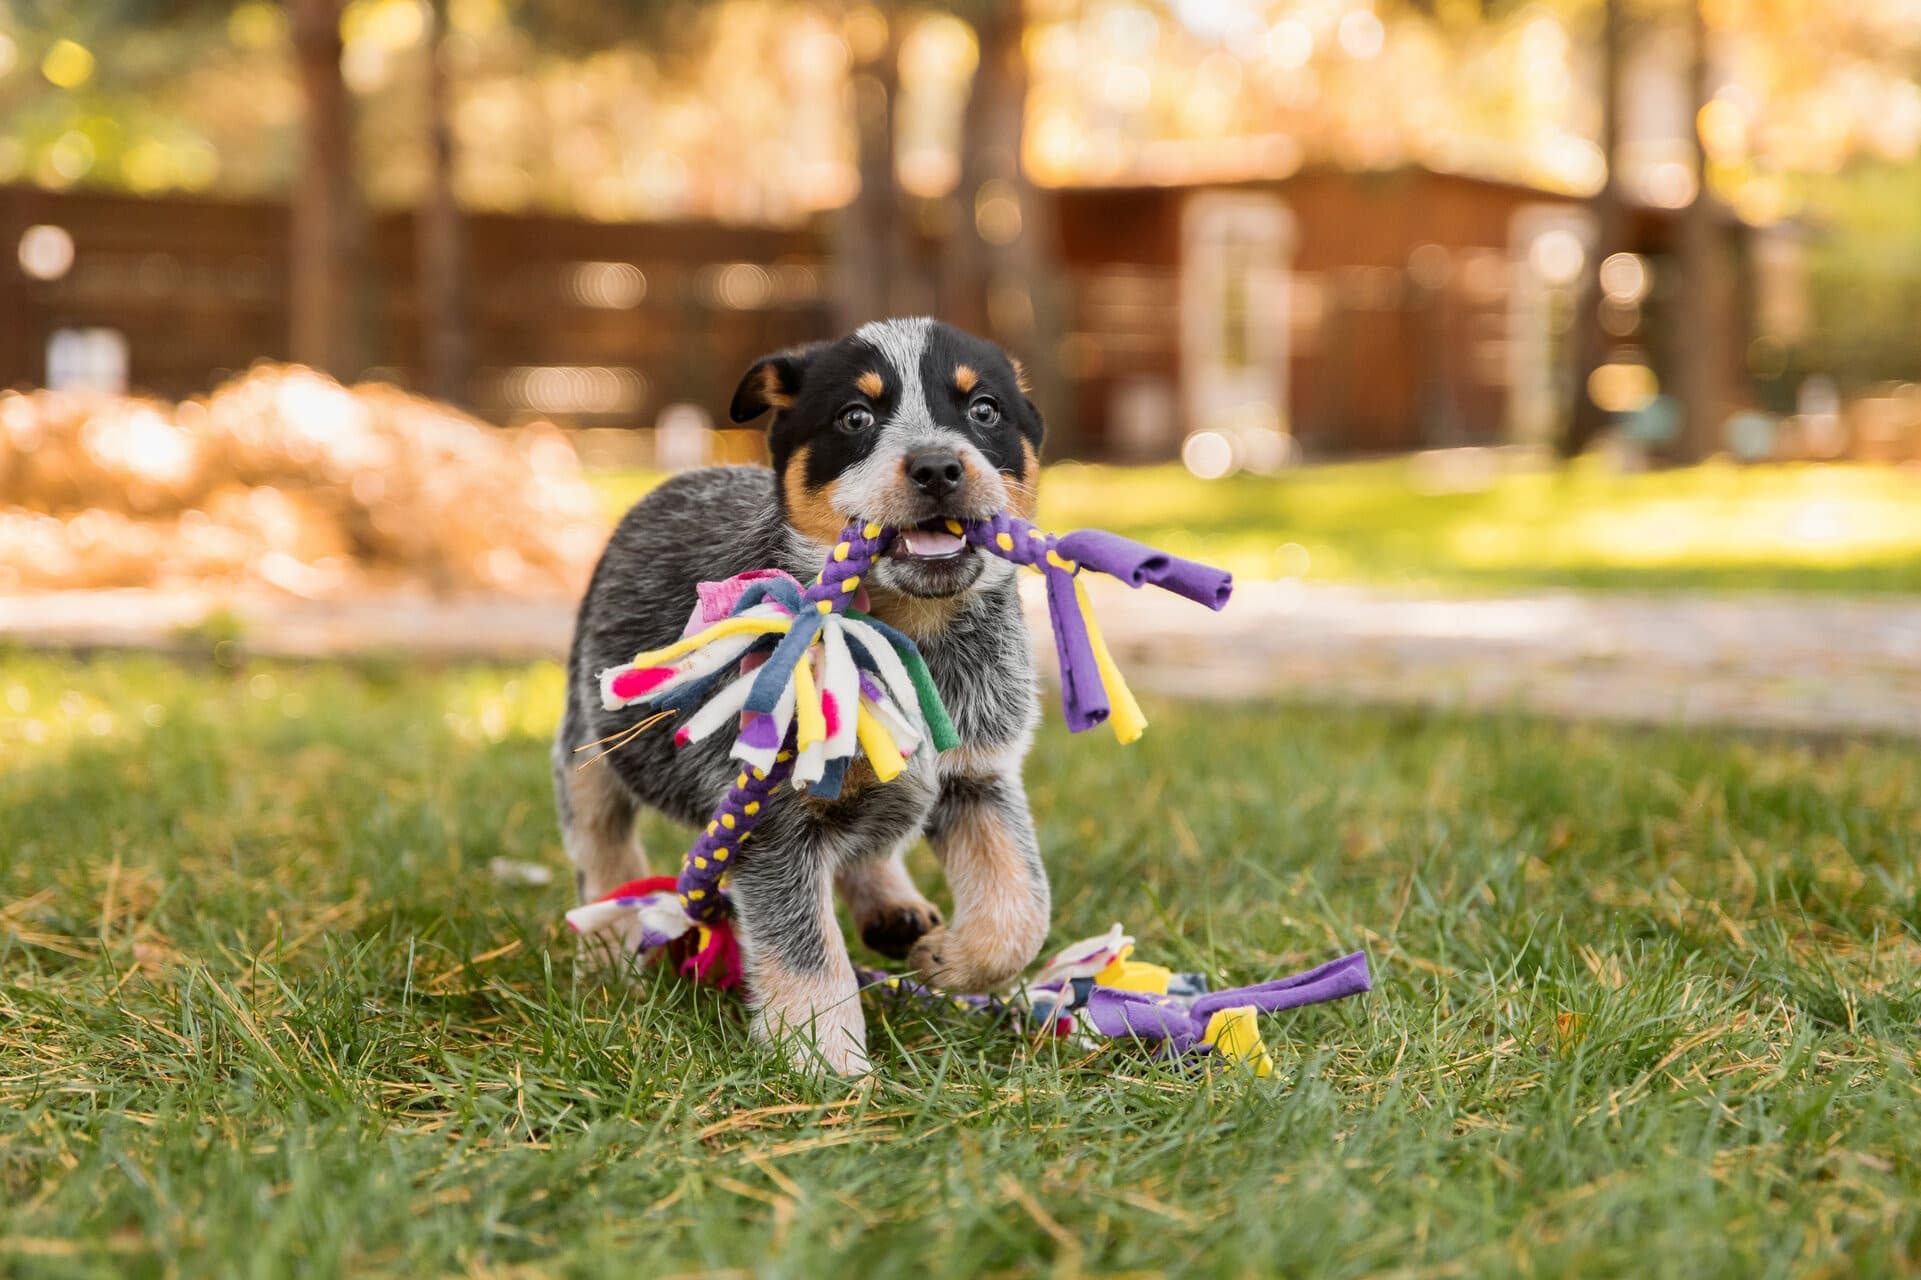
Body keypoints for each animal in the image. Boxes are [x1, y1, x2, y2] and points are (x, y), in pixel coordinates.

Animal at [557, 313, 1052, 1068]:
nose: (937, 466)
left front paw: (950, 961)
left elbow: (1019, 909)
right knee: (600, 841)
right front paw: (828, 1066)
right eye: (855, 417)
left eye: (985, 410)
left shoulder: (979, 775)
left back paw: (893, 907)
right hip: (590, 737)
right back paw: (611, 949)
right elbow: (808, 954)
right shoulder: (771, 815)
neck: (911, 636)